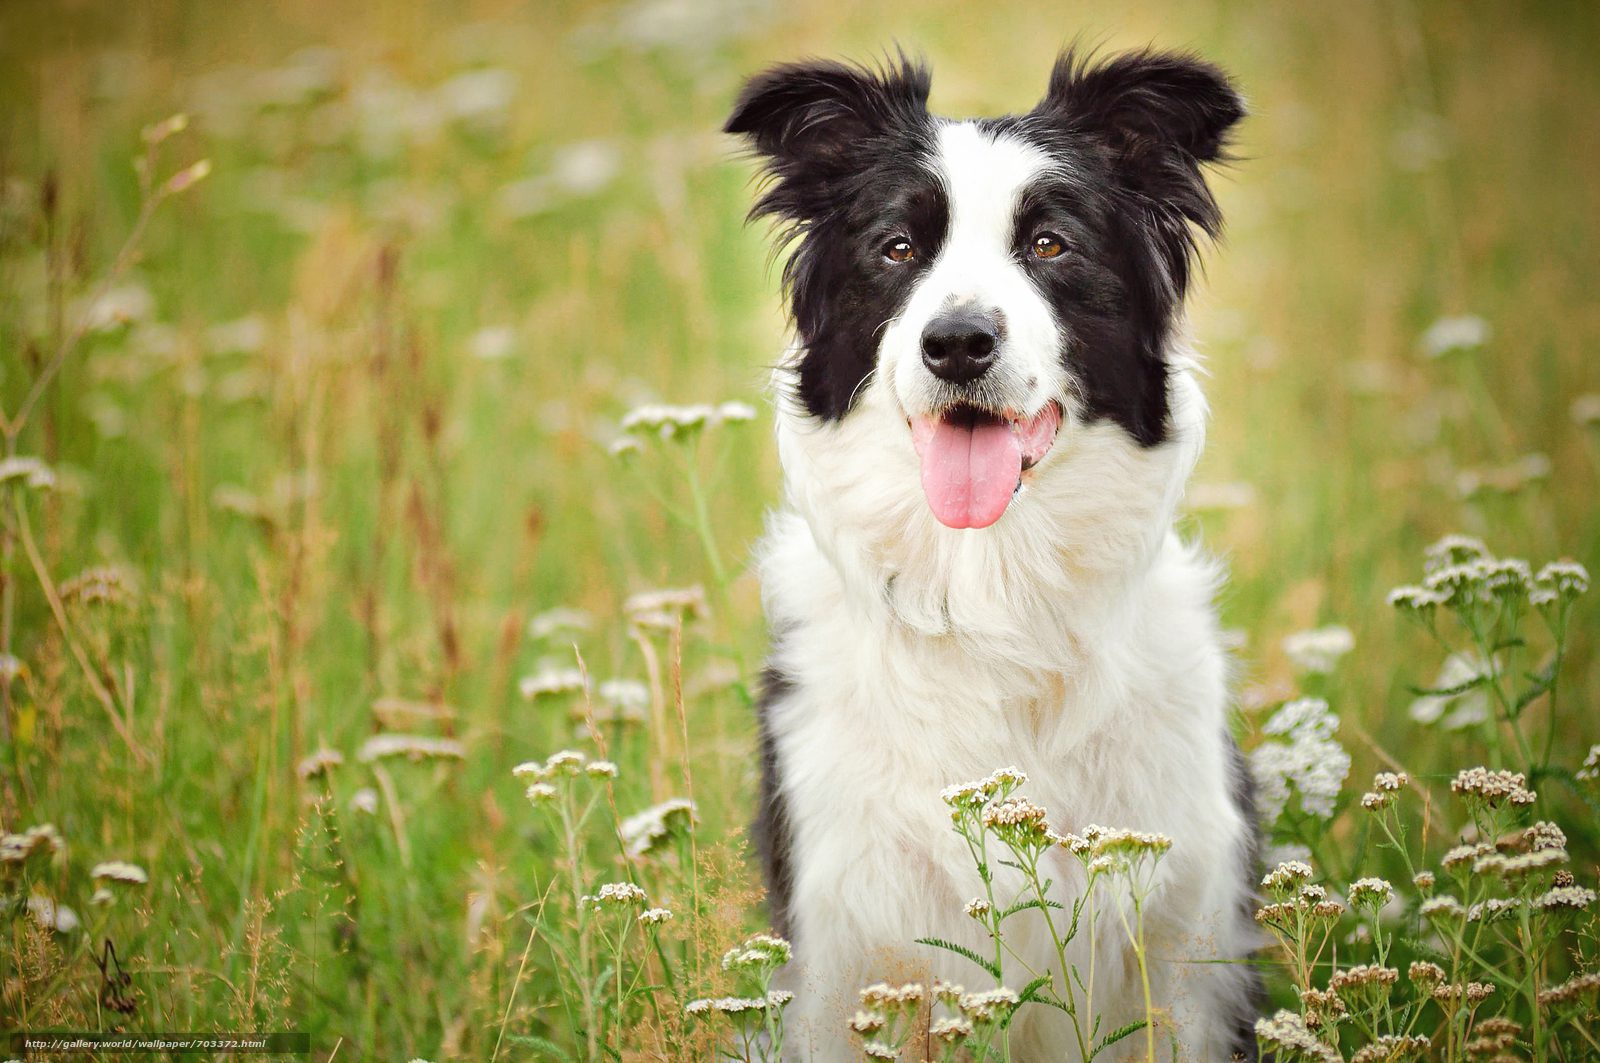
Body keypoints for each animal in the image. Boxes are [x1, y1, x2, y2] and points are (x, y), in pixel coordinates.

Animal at [726, 45, 1260, 1056]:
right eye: (897, 248)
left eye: (1050, 244)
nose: (958, 342)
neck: (992, 595)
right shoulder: (843, 948)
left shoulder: (1189, 950)